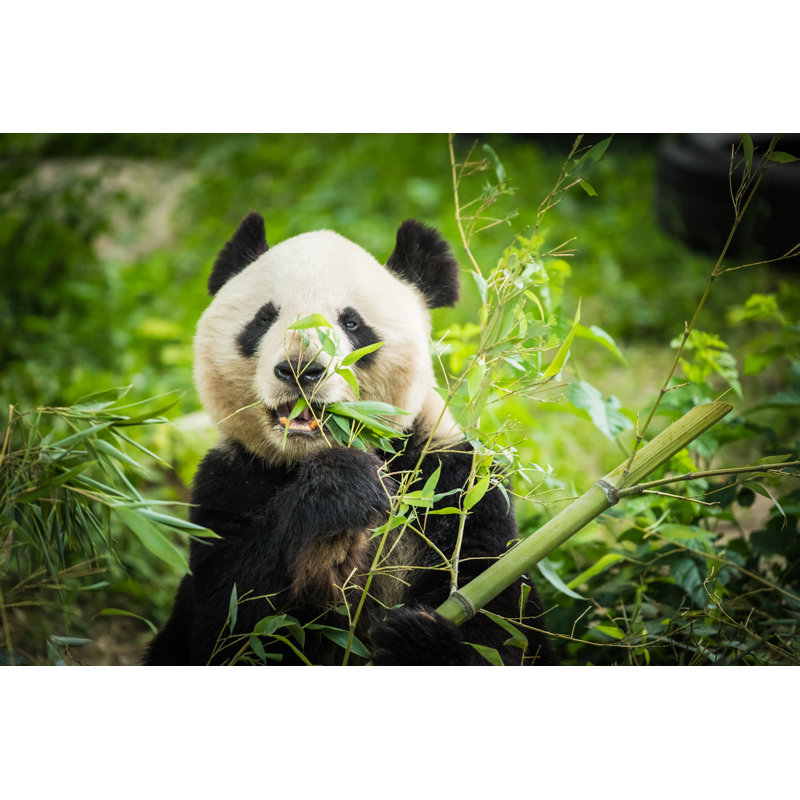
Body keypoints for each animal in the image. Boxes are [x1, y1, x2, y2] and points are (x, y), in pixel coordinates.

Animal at [144, 212, 557, 665]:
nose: (300, 368)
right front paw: (341, 487)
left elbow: (501, 617)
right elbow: (229, 617)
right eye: (264, 319)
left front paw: (418, 640)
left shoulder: (452, 481)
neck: (313, 452)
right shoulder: (231, 480)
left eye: (352, 323)